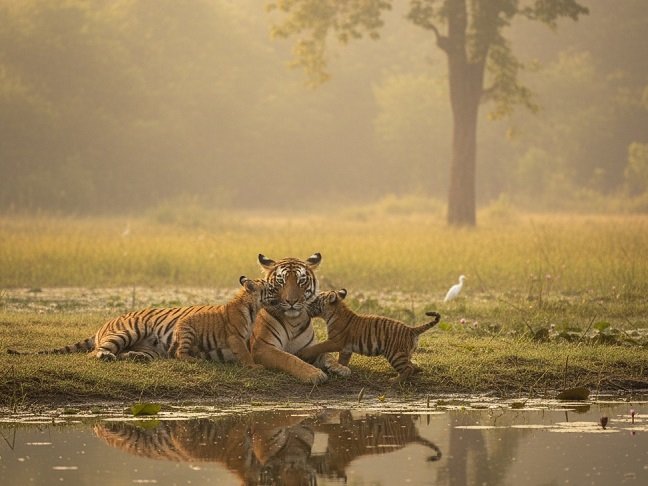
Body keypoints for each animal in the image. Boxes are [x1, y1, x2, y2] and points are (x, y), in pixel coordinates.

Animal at [7, 276, 275, 362]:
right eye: (271, 285)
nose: (281, 295)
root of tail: (104, 324)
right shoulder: (236, 337)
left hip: (152, 348)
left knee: (129, 354)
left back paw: (135, 358)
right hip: (127, 332)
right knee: (94, 353)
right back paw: (106, 357)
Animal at [250, 252, 351, 384]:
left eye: (301, 281)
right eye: (281, 281)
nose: (291, 301)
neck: (293, 321)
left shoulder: (307, 348)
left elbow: (326, 354)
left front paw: (340, 367)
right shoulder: (262, 347)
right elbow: (288, 358)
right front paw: (314, 374)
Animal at [298, 289, 441, 384]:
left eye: (315, 301)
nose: (305, 305)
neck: (332, 314)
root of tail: (411, 329)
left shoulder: (335, 342)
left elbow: (318, 346)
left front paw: (303, 353)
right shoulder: (346, 349)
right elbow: (342, 360)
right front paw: (339, 369)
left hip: (395, 354)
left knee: (407, 368)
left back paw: (395, 380)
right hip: (404, 353)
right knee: (411, 365)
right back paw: (416, 371)